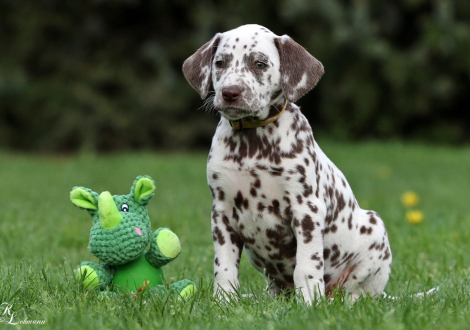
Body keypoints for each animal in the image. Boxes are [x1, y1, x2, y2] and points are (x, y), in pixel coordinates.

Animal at [182, 23, 392, 304]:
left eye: (259, 64)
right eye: (220, 62)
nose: (230, 92)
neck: (253, 142)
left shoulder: (306, 210)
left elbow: (307, 264)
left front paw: (310, 302)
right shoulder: (222, 213)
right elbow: (224, 266)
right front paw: (224, 301)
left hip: (375, 234)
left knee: (357, 293)